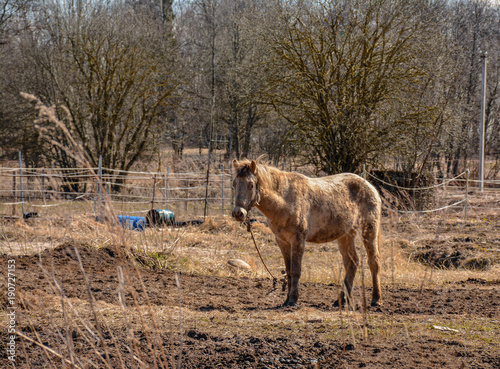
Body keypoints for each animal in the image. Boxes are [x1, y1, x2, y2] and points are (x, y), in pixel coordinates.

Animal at [231, 160, 382, 306]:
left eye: (251, 185)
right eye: (234, 183)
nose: (238, 213)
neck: (285, 200)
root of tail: (370, 186)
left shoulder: (298, 240)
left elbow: (295, 270)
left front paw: (293, 300)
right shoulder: (282, 241)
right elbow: (288, 272)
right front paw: (286, 300)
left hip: (369, 231)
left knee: (373, 262)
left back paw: (376, 299)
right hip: (346, 235)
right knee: (352, 262)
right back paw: (343, 300)